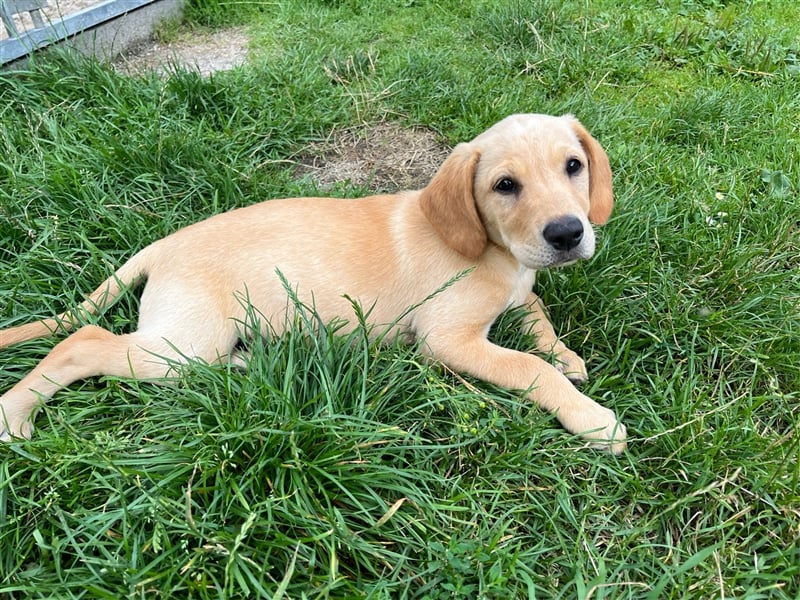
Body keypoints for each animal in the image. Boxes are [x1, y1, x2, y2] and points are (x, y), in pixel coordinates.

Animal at [0, 113, 624, 450]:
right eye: (504, 185)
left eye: (573, 166)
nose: (568, 233)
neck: (495, 250)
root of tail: (165, 243)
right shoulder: (448, 340)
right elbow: (529, 368)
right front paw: (590, 417)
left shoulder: (519, 293)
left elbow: (536, 314)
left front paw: (565, 353)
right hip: (183, 345)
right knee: (83, 342)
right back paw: (15, 413)